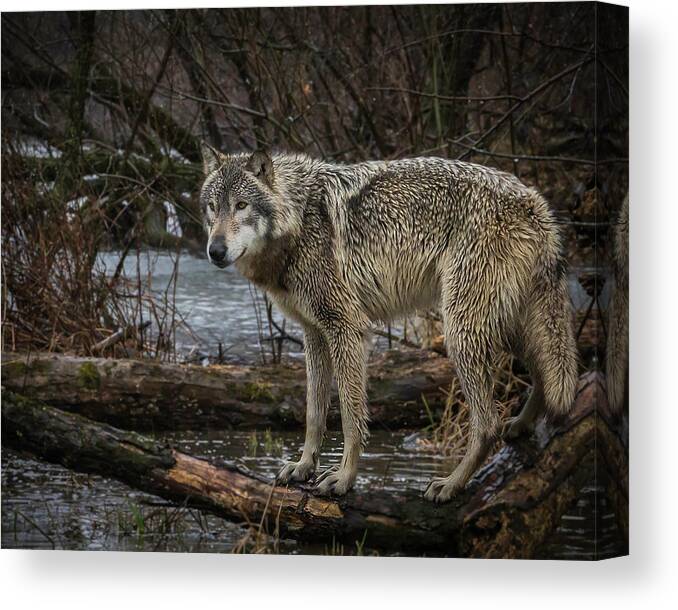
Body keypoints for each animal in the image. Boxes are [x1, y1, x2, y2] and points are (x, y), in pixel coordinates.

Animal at [199, 145, 580, 502]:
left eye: (242, 205)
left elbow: (351, 417)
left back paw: (451, 485)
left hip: (460, 331)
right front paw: (304, 466)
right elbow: (314, 413)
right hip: (505, 327)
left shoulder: (347, 329)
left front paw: (343, 479)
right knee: (544, 375)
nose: (215, 251)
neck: (300, 217)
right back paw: (521, 426)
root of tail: (535, 203)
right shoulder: (315, 334)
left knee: (489, 425)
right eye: (212, 207)